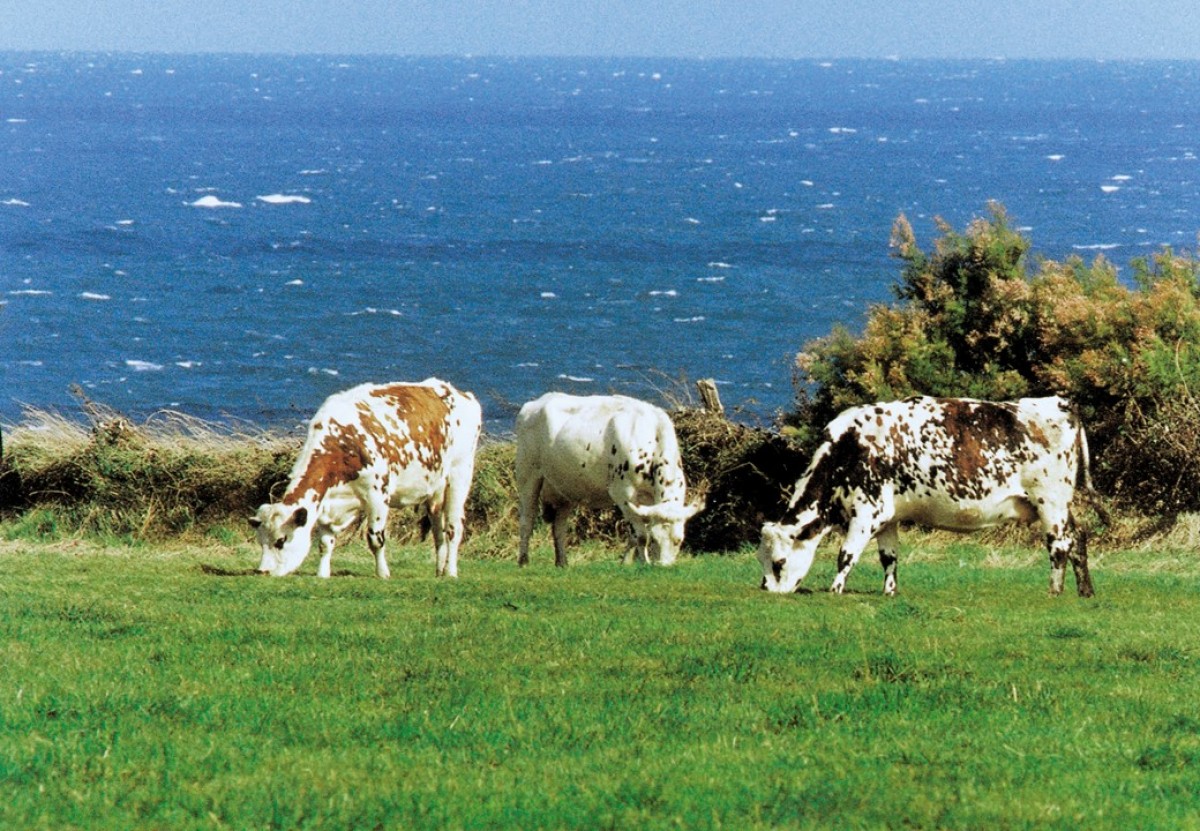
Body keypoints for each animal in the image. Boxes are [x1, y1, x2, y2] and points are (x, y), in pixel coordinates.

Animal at [249, 377, 482, 578]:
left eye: (281, 540)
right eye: (261, 542)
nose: (263, 571)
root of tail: (459, 393)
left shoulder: (377, 494)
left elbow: (375, 538)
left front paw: (382, 573)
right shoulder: (327, 502)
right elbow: (325, 542)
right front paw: (322, 574)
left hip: (460, 473)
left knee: (453, 528)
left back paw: (451, 572)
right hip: (435, 490)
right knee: (438, 531)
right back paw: (439, 571)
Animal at [513, 393, 700, 569]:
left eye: (679, 540)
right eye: (655, 539)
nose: (662, 566)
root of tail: (537, 401)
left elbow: (635, 536)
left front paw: (627, 563)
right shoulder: (623, 493)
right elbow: (641, 536)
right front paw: (643, 563)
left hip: (566, 486)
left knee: (559, 526)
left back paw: (562, 563)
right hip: (527, 474)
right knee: (527, 520)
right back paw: (523, 561)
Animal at [758, 396, 1099, 598]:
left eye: (778, 562)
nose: (768, 591)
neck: (849, 448)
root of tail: (1060, 401)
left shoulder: (869, 511)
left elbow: (846, 554)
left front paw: (835, 589)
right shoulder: (889, 517)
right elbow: (889, 557)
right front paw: (889, 592)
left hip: (1050, 500)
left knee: (1059, 545)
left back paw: (1054, 591)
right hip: (1060, 504)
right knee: (1078, 536)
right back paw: (1085, 591)